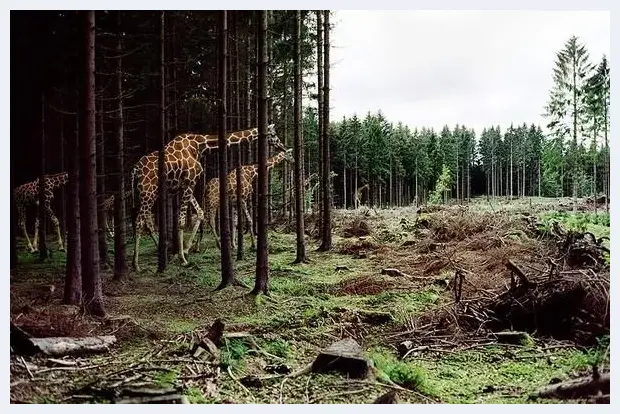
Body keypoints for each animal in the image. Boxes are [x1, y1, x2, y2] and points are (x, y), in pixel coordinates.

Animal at [131, 123, 288, 272]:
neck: (200, 145)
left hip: (147, 193)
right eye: (274, 134)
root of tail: (135, 169)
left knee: (146, 220)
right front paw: (183, 258)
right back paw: (136, 264)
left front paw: (187, 250)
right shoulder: (191, 181)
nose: (283, 147)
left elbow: (200, 213)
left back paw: (160, 251)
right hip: (149, 191)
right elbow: (181, 220)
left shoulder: (184, 185)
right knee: (139, 221)